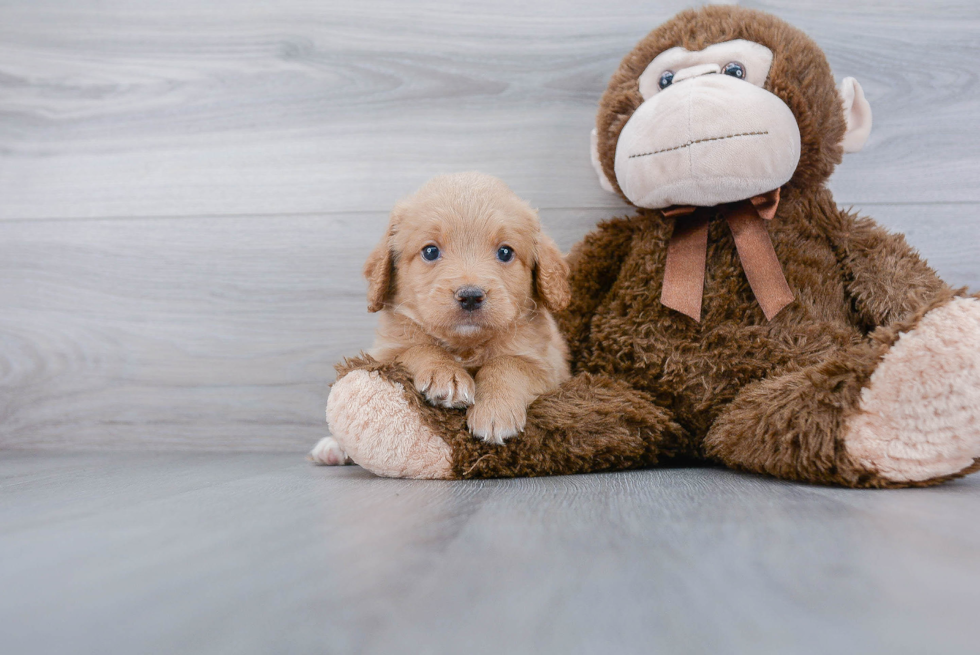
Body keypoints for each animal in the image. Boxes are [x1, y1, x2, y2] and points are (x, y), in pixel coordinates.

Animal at [312, 172, 576, 464]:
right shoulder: (385, 353)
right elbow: (419, 347)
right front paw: (444, 373)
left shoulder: (549, 368)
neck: (465, 347)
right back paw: (333, 447)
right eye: (430, 251)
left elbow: (507, 364)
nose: (470, 296)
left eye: (505, 252)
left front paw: (495, 410)